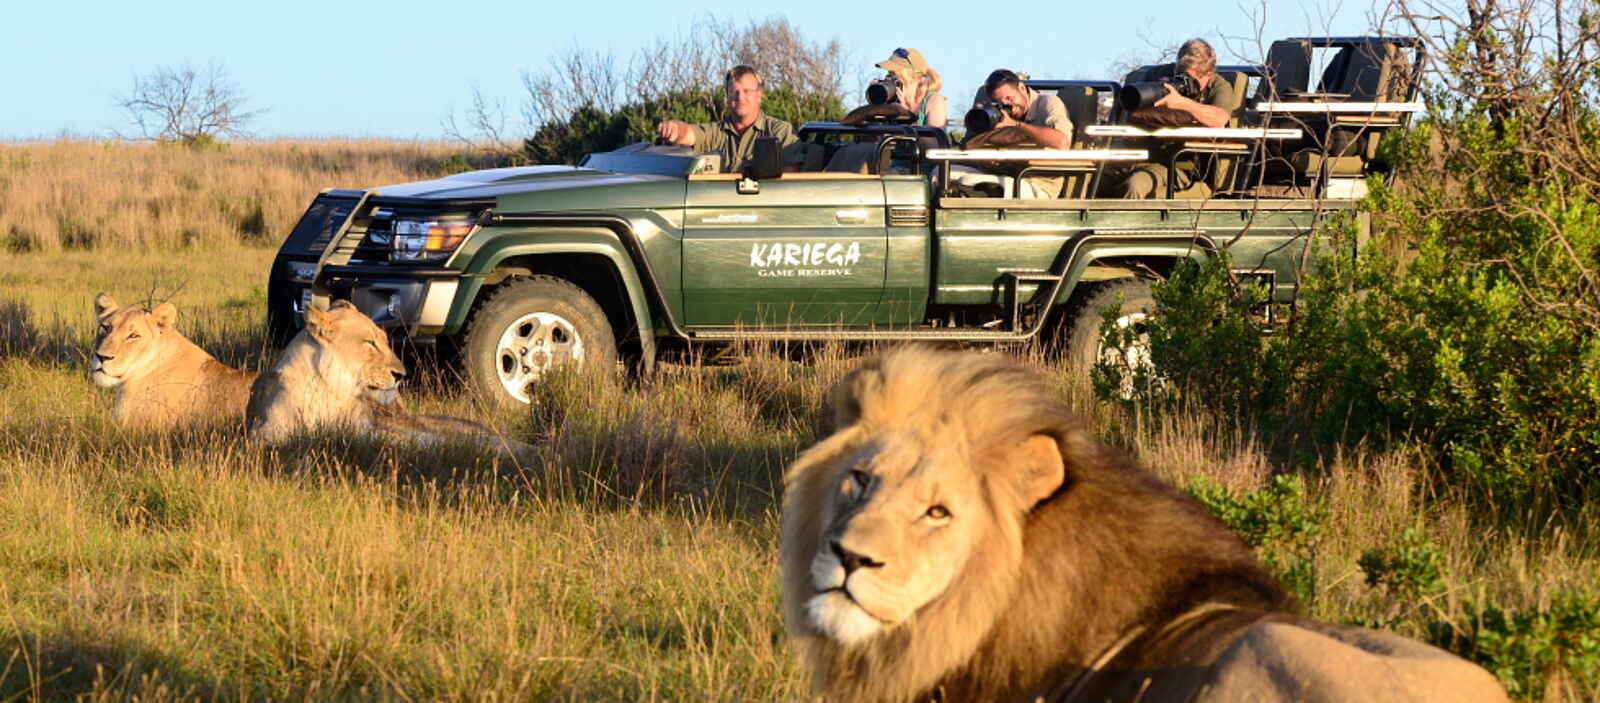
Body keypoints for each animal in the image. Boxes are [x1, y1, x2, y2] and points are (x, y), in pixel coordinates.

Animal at [247, 300, 531, 455]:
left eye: (384, 340)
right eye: (369, 343)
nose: (401, 375)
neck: (332, 391)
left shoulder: (369, 429)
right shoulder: (265, 434)